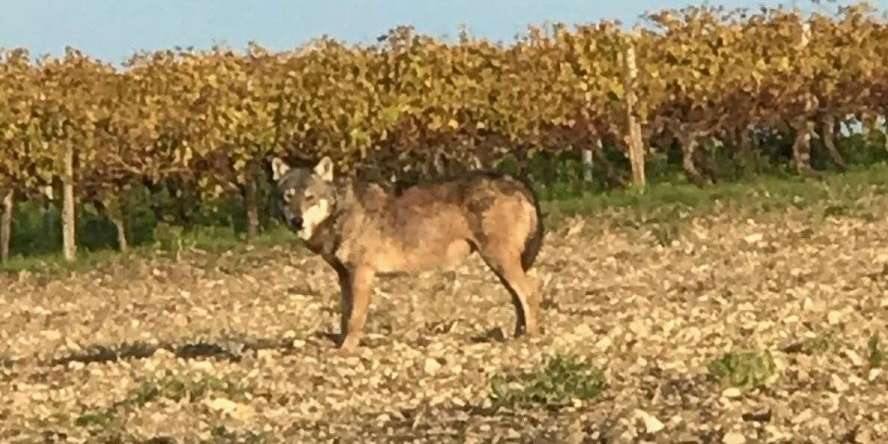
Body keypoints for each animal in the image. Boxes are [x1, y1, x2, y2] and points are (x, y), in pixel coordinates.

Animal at [274, 156, 544, 350]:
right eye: (288, 198)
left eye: (310, 198)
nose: (296, 221)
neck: (340, 211)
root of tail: (517, 182)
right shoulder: (343, 276)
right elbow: (344, 315)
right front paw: (341, 344)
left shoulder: (362, 273)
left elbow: (355, 319)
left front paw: (347, 349)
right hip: (500, 266)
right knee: (518, 298)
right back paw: (517, 334)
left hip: (499, 261)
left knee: (530, 292)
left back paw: (530, 337)